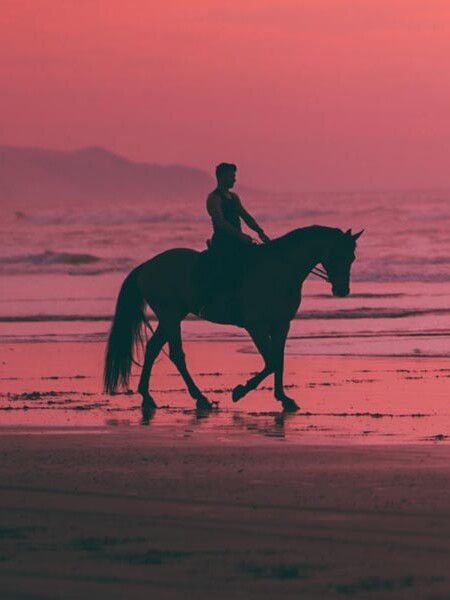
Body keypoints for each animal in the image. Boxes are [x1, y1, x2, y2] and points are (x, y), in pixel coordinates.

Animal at [102, 225, 362, 412]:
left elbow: (278, 360)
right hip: (170, 315)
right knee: (176, 354)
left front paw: (283, 398)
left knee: (153, 348)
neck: (279, 270)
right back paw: (200, 398)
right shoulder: (256, 326)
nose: (342, 290)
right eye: (338, 254)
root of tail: (147, 265)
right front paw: (239, 392)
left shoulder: (281, 324)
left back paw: (148, 396)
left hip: (172, 316)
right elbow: (271, 361)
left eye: (352, 258)